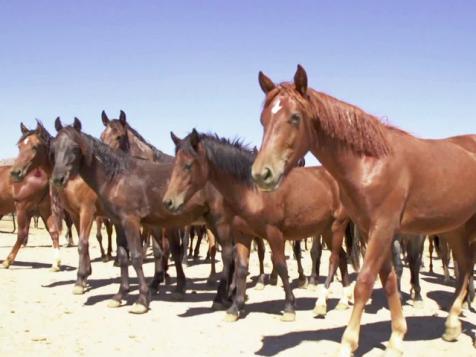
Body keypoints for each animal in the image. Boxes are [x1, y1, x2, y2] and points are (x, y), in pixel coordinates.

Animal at [162, 130, 358, 320]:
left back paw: (321, 303)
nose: (168, 202)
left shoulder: (274, 233)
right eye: (174, 165)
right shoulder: (242, 234)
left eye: (188, 165)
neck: (253, 193)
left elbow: (281, 265)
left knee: (334, 260)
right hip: (326, 230)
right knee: (342, 257)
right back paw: (343, 300)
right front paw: (235, 307)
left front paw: (289, 306)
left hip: (337, 226)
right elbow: (241, 267)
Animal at [249, 66, 476, 354]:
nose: (261, 174)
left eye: (295, 117)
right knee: (466, 266)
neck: (372, 163)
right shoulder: (372, 230)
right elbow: (388, 280)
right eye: (263, 119)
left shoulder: (383, 228)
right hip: (456, 227)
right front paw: (396, 337)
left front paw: (347, 343)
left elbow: (365, 281)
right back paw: (451, 325)